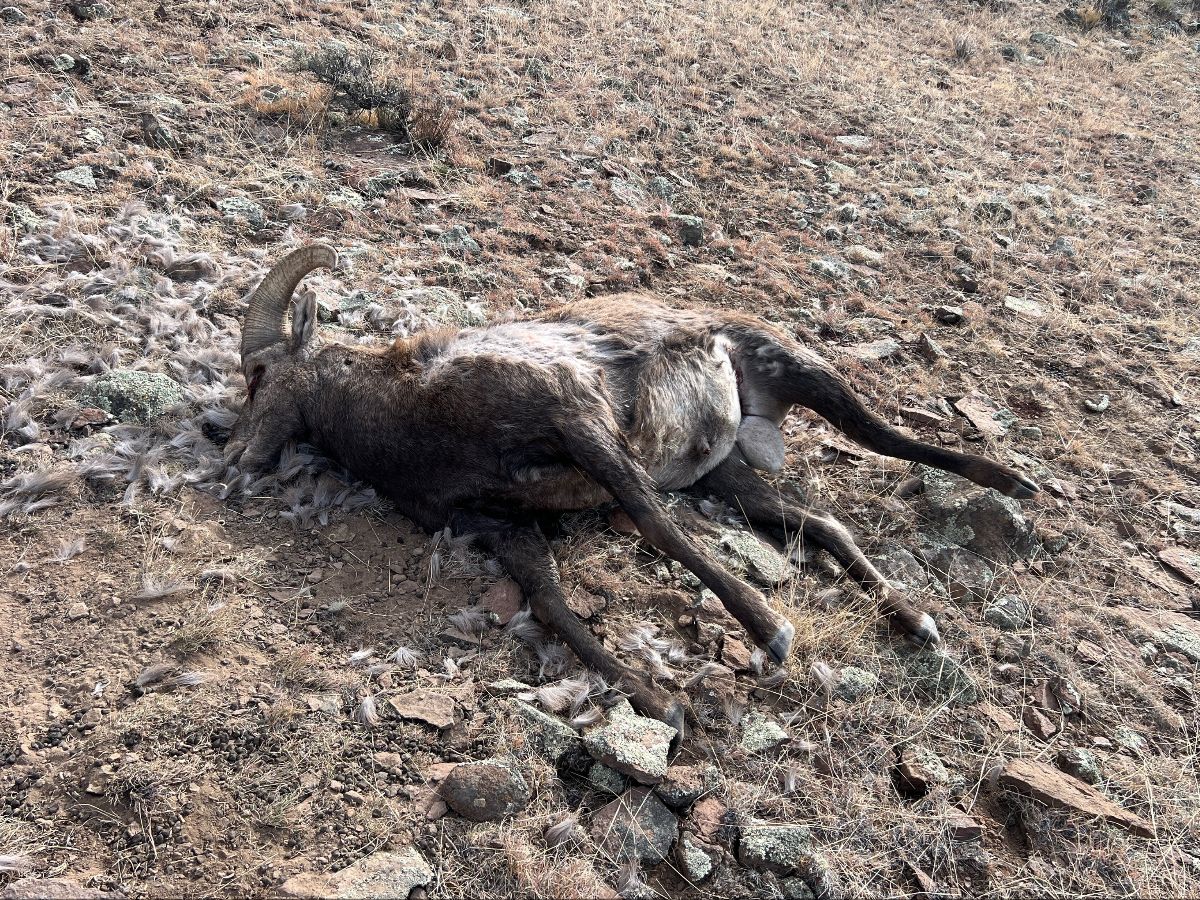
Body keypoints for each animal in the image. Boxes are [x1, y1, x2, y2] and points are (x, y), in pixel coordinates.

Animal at [225, 244, 1039, 736]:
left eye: (258, 374)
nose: (231, 453)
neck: (407, 413)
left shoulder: (578, 421)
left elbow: (655, 526)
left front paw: (770, 631)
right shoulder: (499, 523)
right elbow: (552, 606)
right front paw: (657, 701)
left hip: (800, 373)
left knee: (885, 437)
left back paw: (1015, 484)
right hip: (727, 476)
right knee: (822, 523)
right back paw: (915, 620)